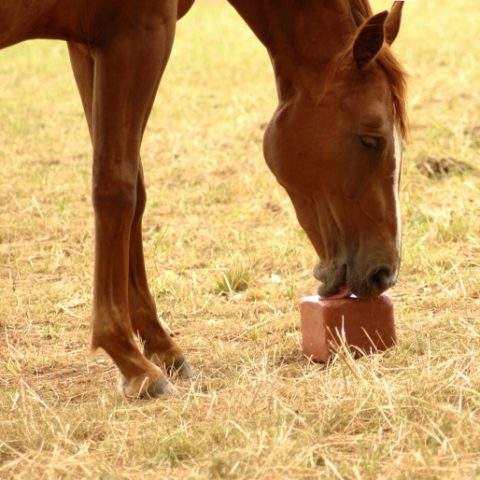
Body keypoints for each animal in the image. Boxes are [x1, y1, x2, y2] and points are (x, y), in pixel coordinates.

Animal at [0, 0, 406, 398]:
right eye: (371, 139)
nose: (385, 272)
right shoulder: (138, 35)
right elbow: (116, 190)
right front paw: (130, 359)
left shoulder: (88, 46)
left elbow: (136, 192)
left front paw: (161, 346)